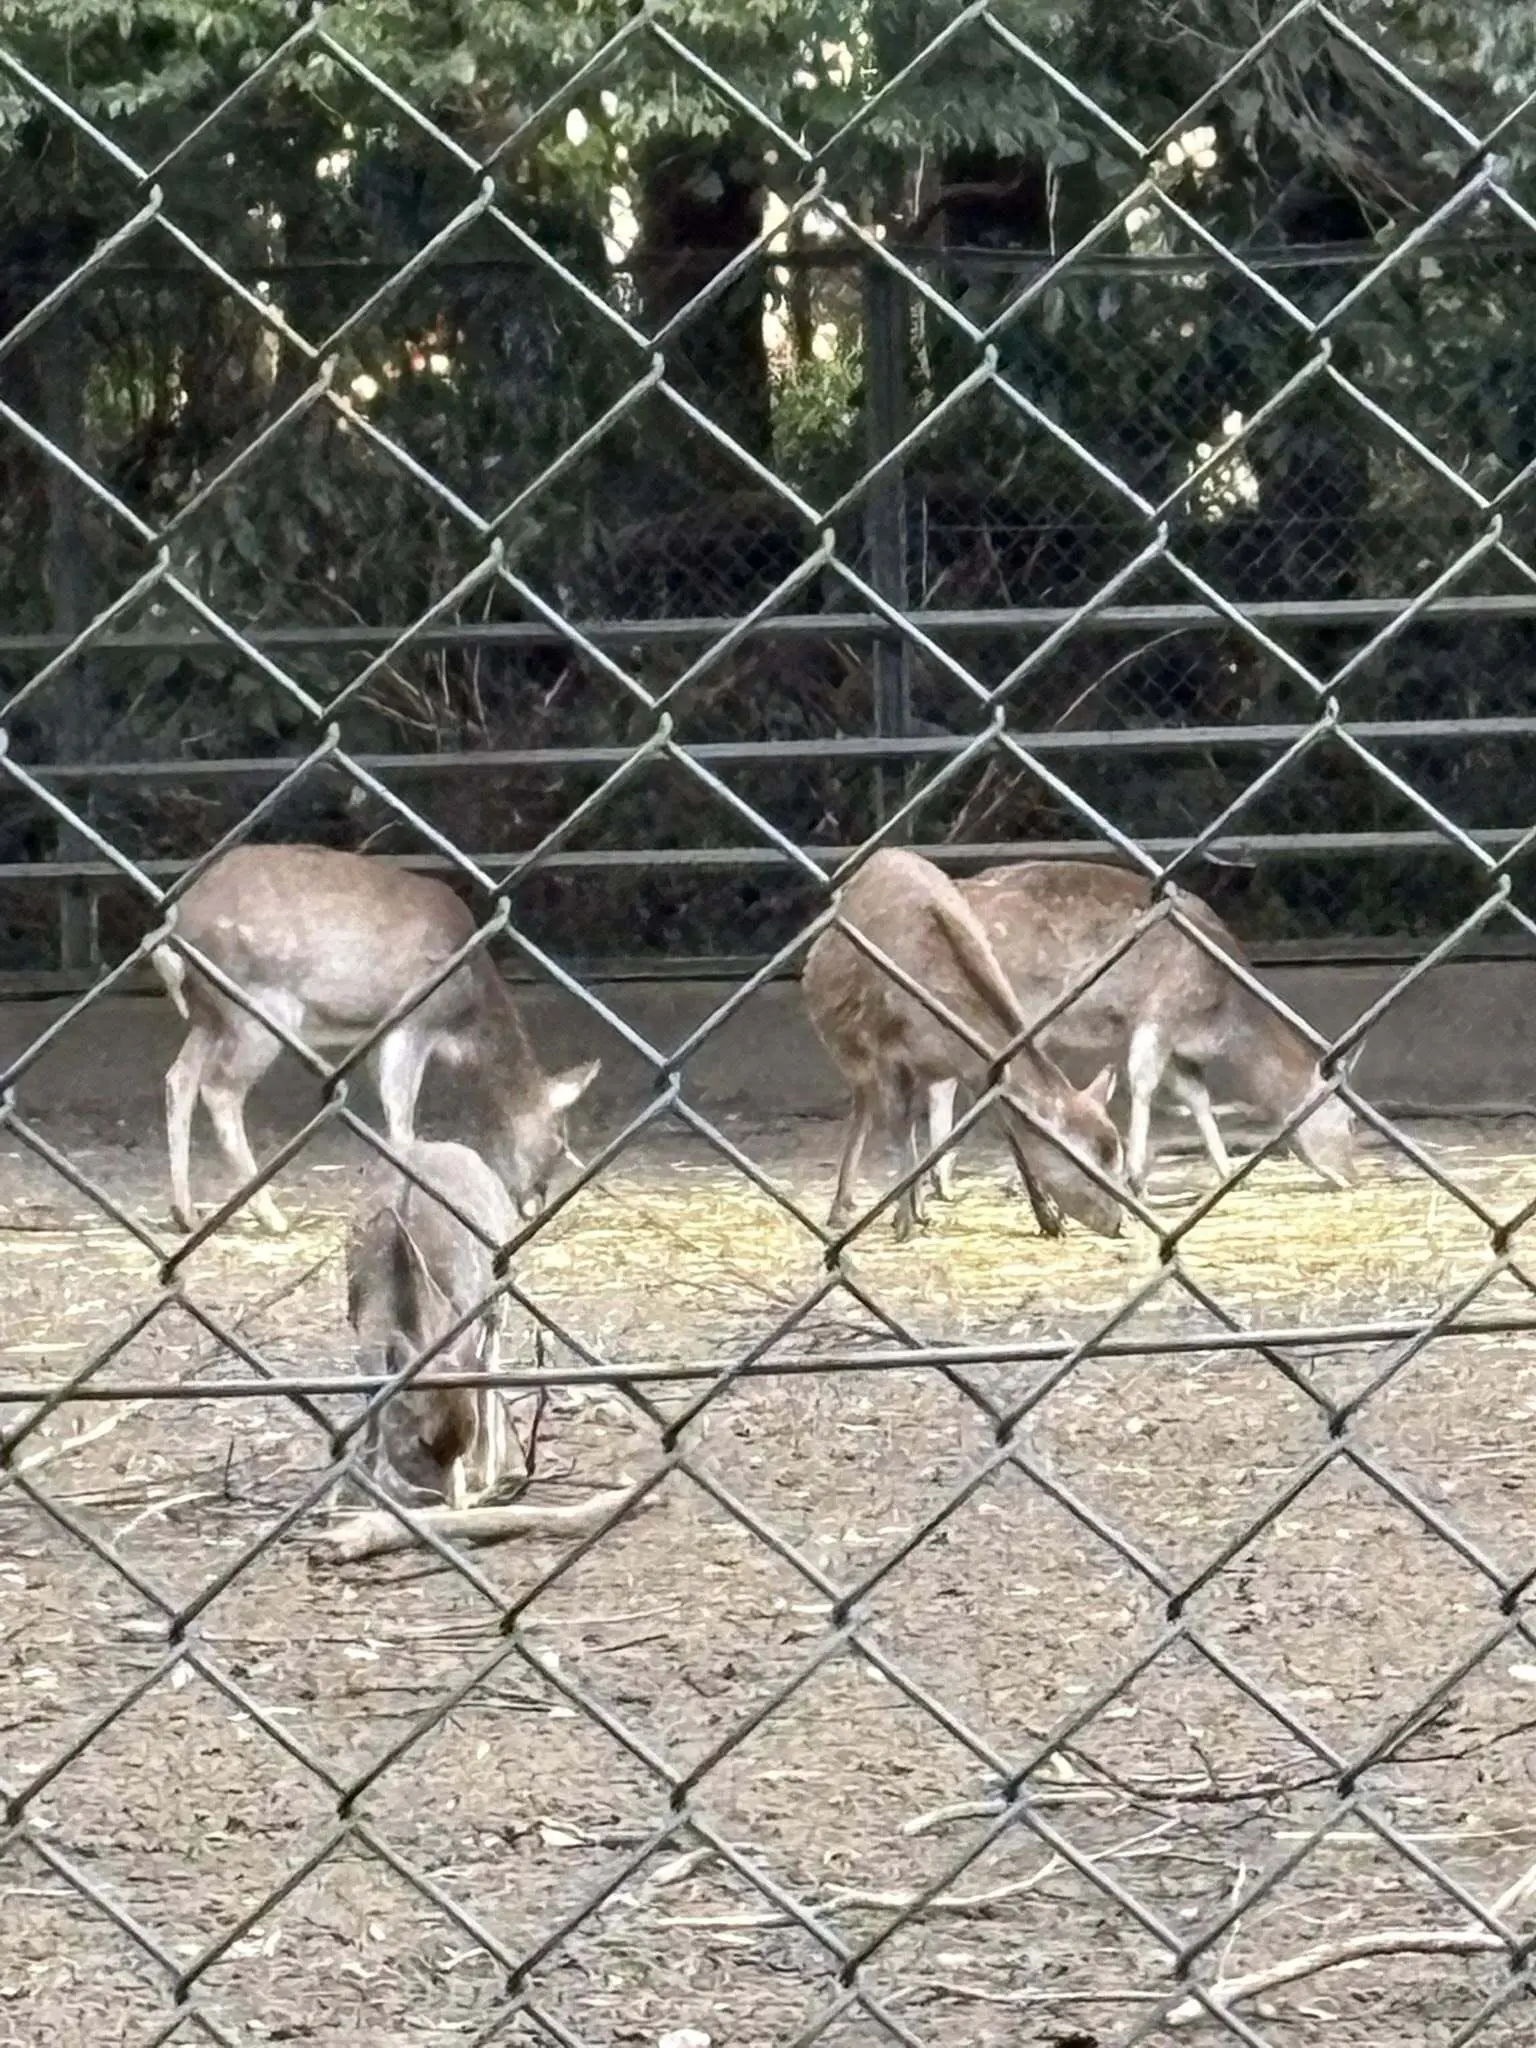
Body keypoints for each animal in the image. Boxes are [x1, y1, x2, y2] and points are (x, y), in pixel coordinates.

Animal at [152, 845, 599, 1235]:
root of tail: (171, 942)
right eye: (559, 1144)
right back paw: (271, 1216)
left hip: (210, 1018)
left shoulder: (374, 1035)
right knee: (219, 1088)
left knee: (180, 1077)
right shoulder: (414, 1021)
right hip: (257, 1011)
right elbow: (402, 1125)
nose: (534, 1203)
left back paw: (185, 1212)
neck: (464, 1023)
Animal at [346, 1138, 518, 1509]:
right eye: (422, 1442)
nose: (445, 1499)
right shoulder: (366, 1347)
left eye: (460, 1444)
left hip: (498, 1308)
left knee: (490, 1369)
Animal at [801, 847, 1126, 1241]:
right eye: (1086, 1162)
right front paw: (904, 1221)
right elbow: (899, 1131)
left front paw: (1049, 1220)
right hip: (851, 1055)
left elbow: (1007, 1134)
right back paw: (843, 1208)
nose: (1117, 1221)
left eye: (1117, 1154)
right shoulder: (885, 1055)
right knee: (865, 1108)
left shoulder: (983, 1071)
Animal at [923, 859, 1357, 1203]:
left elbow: (1196, 1095)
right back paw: (948, 1177)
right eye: (1350, 1119)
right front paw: (1136, 1178)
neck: (1220, 1016)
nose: (1352, 1176)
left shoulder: (1177, 1042)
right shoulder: (1159, 1013)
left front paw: (1227, 1171)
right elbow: (1143, 1083)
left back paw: (943, 1178)